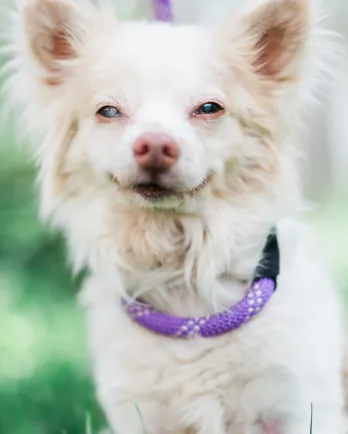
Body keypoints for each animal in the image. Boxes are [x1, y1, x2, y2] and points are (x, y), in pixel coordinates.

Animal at [2, 0, 346, 432]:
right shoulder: (138, 413)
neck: (182, 279)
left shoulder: (296, 402)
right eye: (108, 111)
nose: (154, 144)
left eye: (209, 108)